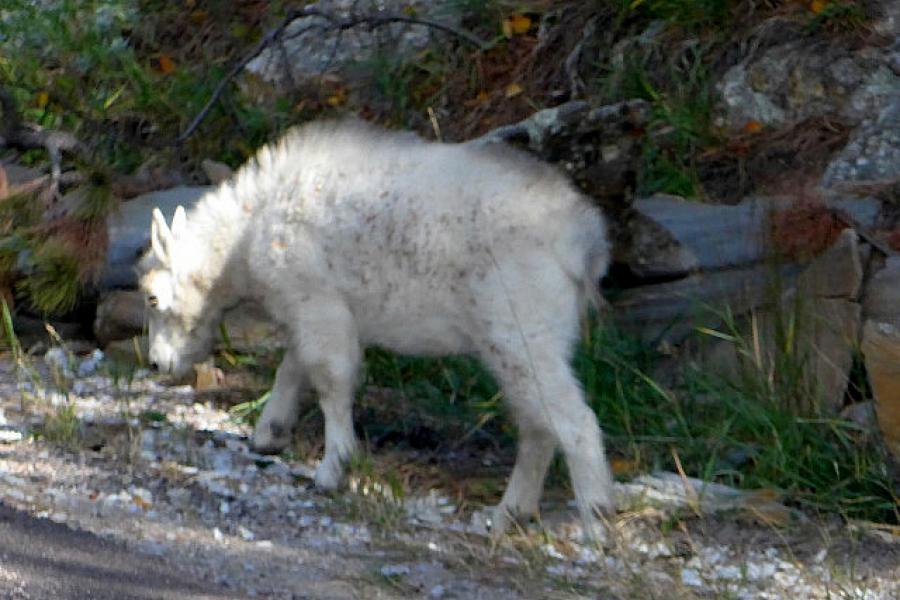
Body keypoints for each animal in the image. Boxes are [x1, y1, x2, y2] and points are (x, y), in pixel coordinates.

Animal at [141, 119, 616, 536]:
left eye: (152, 298)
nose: (158, 364)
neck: (246, 234)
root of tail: (583, 241)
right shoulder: (316, 313)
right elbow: (292, 369)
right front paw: (269, 435)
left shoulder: (317, 302)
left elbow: (329, 383)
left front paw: (332, 468)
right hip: (520, 345)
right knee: (538, 426)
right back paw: (509, 513)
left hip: (524, 334)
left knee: (574, 421)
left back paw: (595, 522)